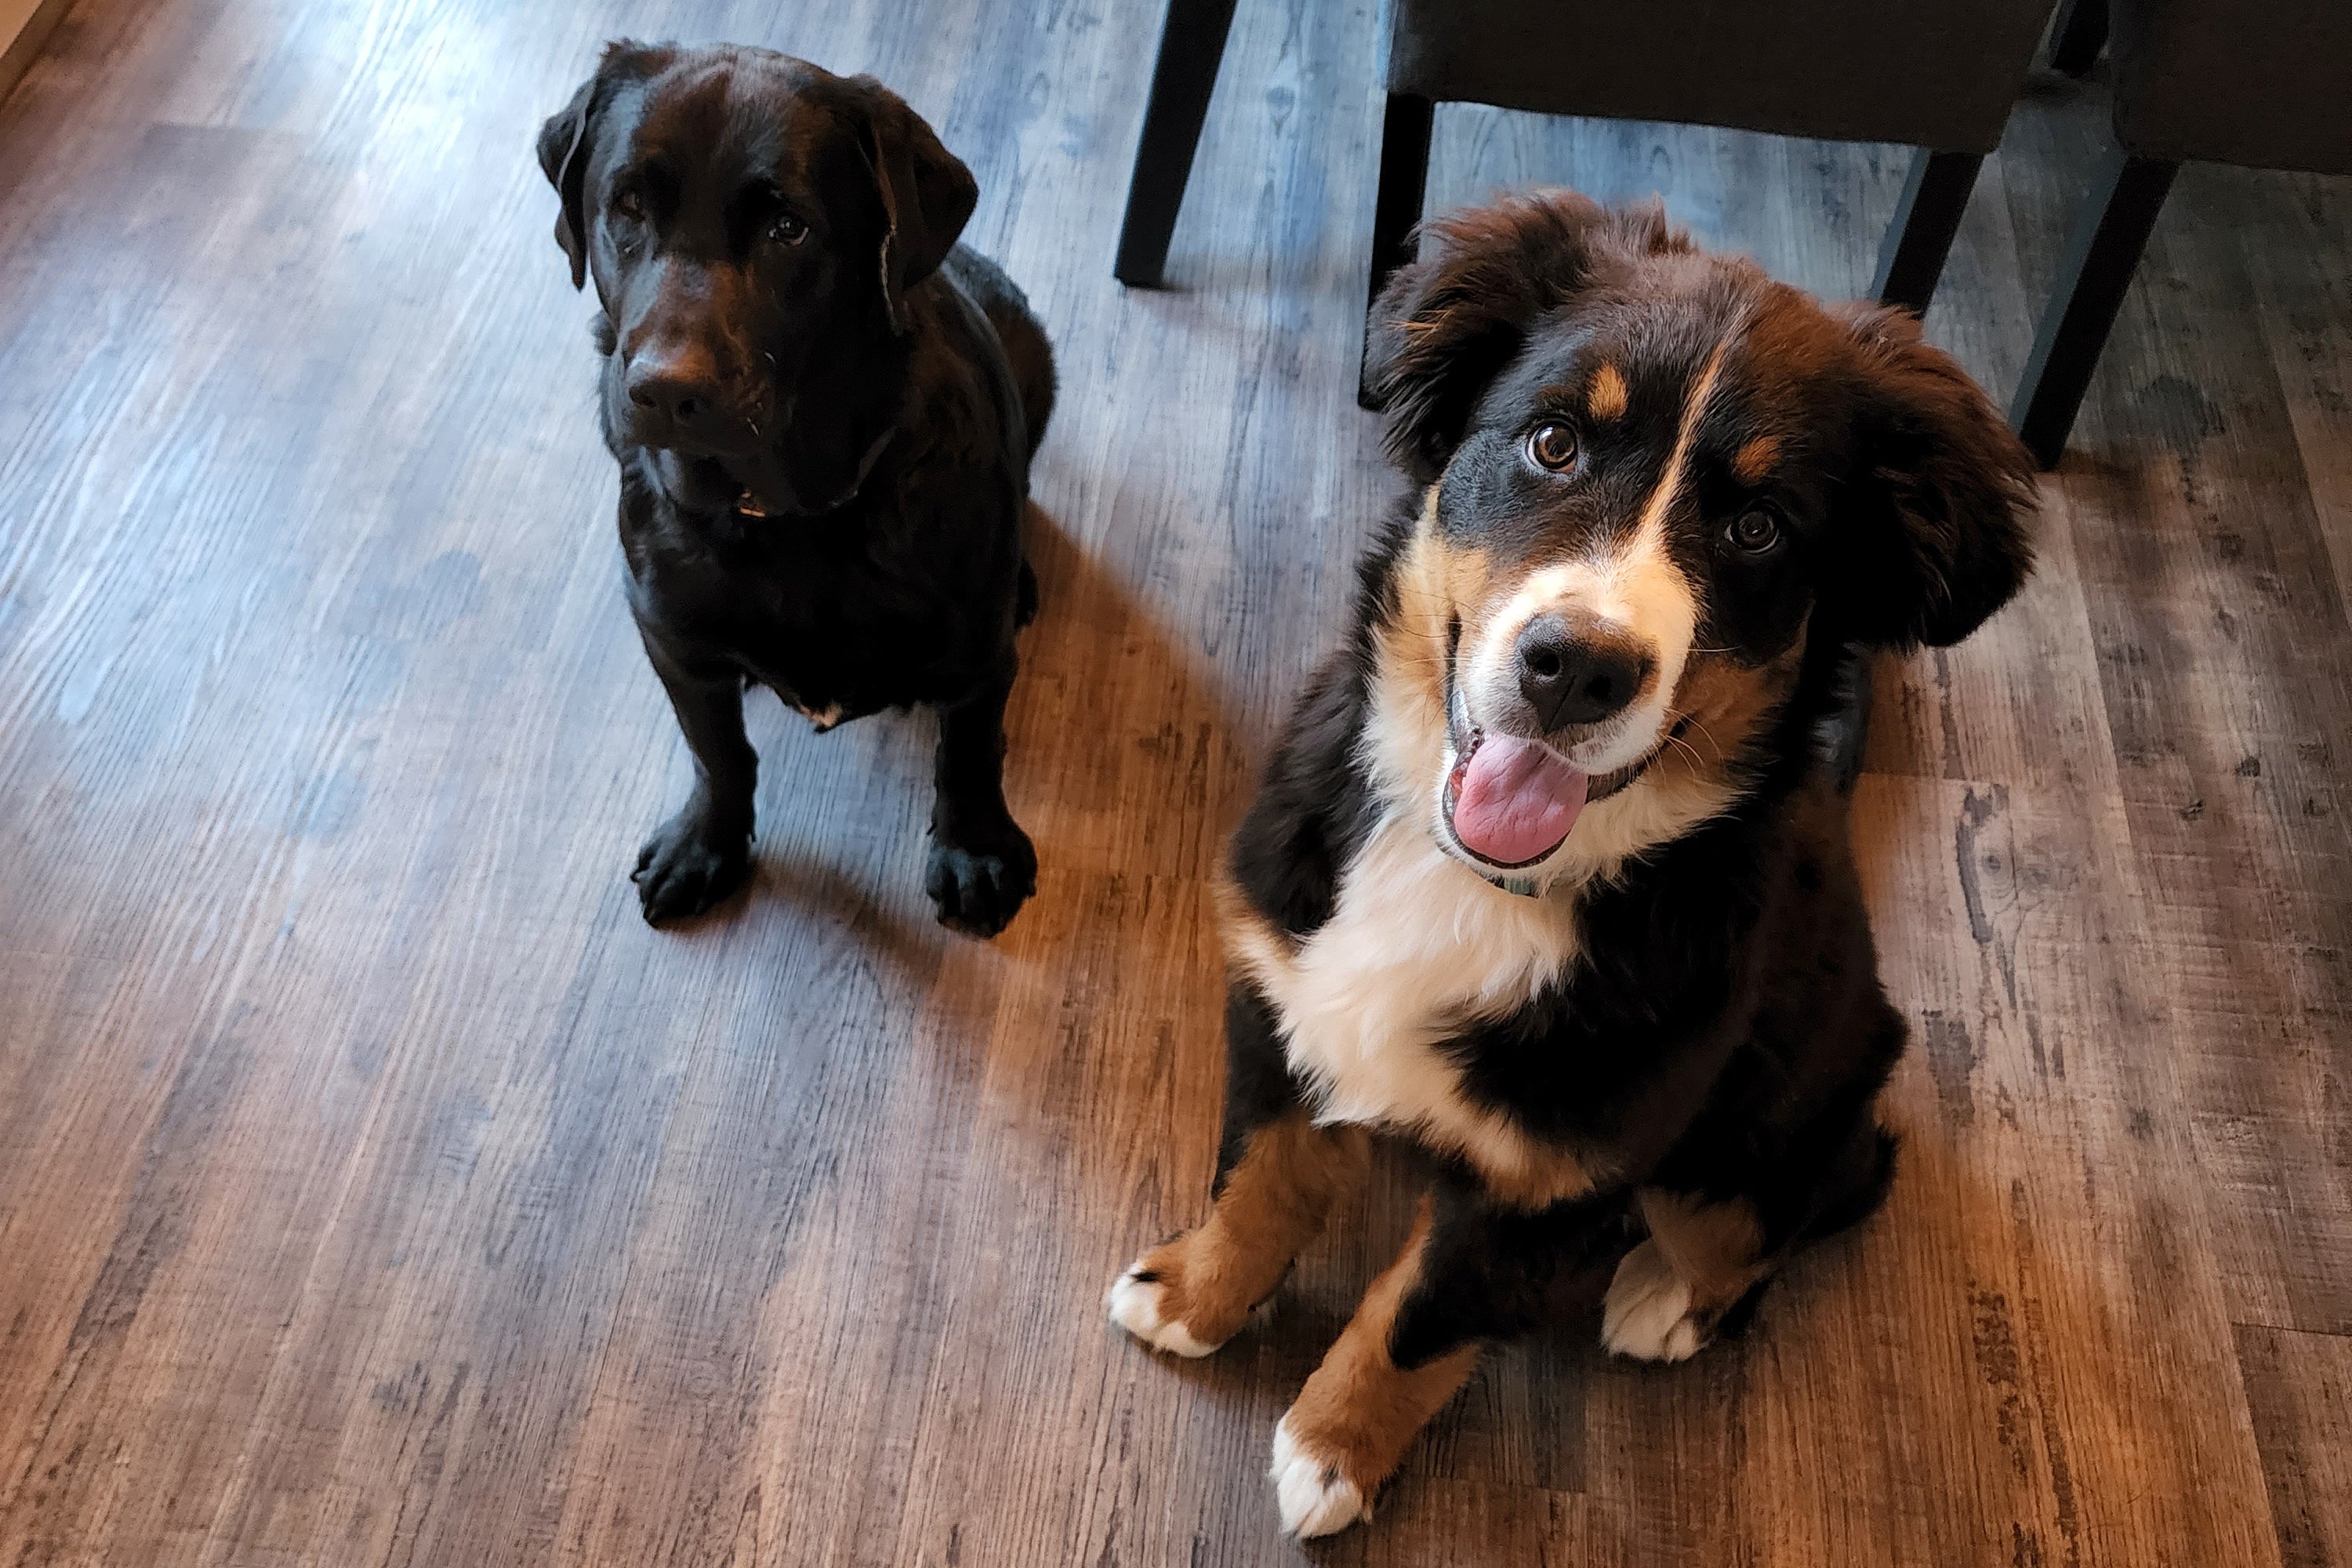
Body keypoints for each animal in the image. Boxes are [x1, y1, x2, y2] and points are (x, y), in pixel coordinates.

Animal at [539, 42, 1054, 940]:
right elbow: (716, 752)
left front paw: (976, 851)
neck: (790, 522)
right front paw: (704, 844)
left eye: (789, 228)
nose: (664, 391)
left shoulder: (977, 660)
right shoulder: (672, 643)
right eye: (628, 205)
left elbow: (969, 756)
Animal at [1101, 192, 2042, 1533]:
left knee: (1780, 1216)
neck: (1469, 880)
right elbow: (1261, 1176)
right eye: (1553, 443)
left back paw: (1668, 1299)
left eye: (1758, 527)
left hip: (1779, 1116)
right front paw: (1194, 1295)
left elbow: (1419, 1321)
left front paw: (1333, 1451)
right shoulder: (1279, 995)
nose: (1579, 667)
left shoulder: (1551, 1179)